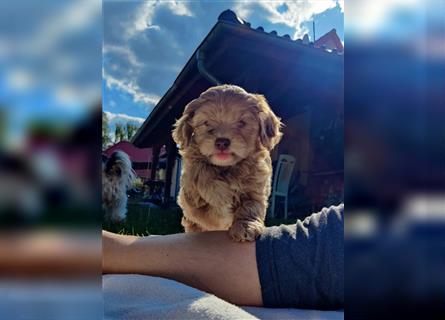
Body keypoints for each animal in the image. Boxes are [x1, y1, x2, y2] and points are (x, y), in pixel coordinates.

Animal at [171, 84, 280, 240]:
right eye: (206, 123)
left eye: (242, 123)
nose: (222, 142)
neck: (227, 167)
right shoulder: (189, 194)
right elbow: (201, 172)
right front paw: (222, 195)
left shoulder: (257, 187)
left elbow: (251, 205)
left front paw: (246, 226)